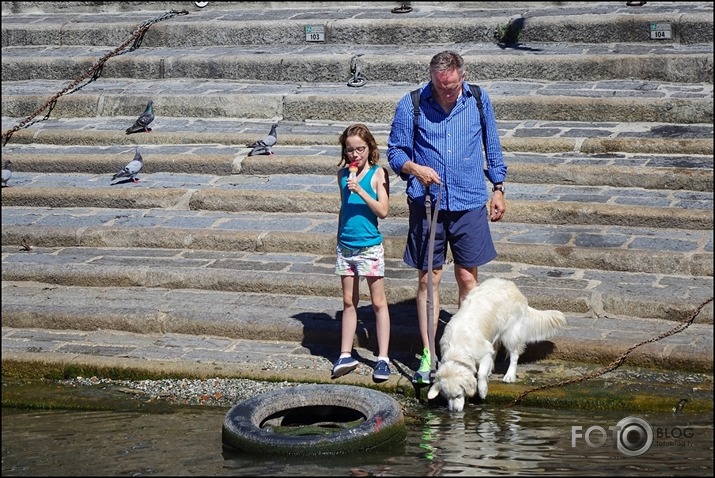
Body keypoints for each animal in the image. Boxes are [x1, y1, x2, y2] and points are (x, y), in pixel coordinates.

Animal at [428, 278, 568, 412]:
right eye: (446, 397)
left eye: (458, 395)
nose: (454, 411)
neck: (457, 350)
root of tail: (513, 287)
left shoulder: (484, 351)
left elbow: (481, 374)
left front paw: (482, 391)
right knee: (495, 350)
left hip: (510, 333)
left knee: (514, 355)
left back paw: (509, 375)